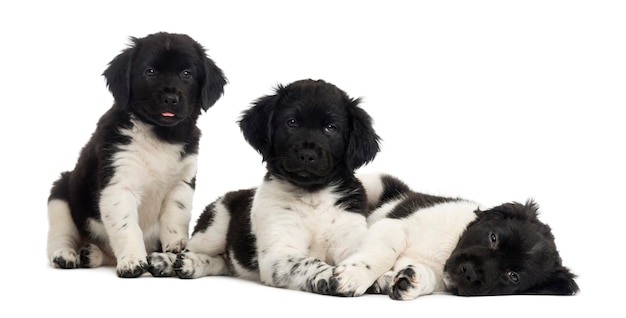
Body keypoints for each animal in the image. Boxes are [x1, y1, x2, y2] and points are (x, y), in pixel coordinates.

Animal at [47, 31, 227, 278]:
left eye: (186, 74)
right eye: (150, 71)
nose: (171, 98)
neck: (160, 135)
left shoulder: (182, 183)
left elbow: (175, 217)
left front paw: (176, 248)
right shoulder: (118, 184)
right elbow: (127, 227)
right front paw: (132, 261)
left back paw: (91, 254)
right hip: (61, 195)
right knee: (61, 234)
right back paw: (66, 254)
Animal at [147, 78, 380, 294]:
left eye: (330, 128)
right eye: (292, 122)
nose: (307, 154)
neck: (313, 195)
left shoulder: (349, 239)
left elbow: (365, 257)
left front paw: (375, 278)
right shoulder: (278, 254)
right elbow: (308, 262)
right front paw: (327, 275)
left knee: (222, 262)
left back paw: (191, 265)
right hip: (214, 227)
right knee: (191, 250)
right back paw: (167, 261)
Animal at [330, 173, 576, 300]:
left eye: (513, 276)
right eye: (493, 238)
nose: (469, 272)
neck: (449, 246)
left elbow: (424, 275)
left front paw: (411, 280)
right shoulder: (393, 226)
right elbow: (384, 252)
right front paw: (354, 276)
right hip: (375, 181)